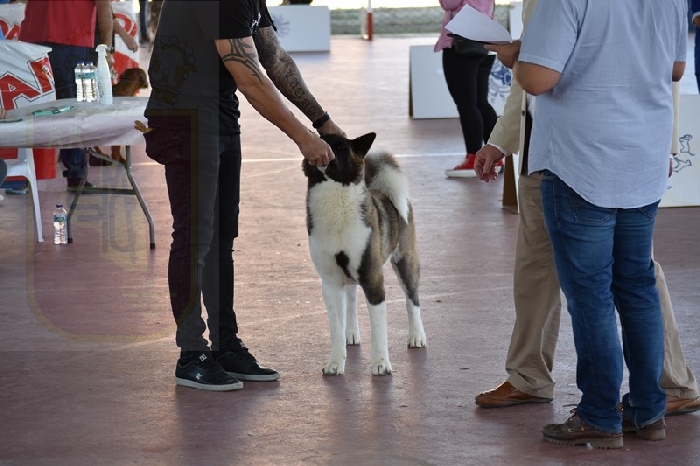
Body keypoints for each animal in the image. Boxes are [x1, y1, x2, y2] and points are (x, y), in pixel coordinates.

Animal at [302, 132, 427, 376]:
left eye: (339, 146)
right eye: (320, 136)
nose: (318, 144)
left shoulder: (373, 278)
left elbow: (379, 329)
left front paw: (380, 363)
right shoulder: (330, 283)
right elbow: (335, 327)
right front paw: (335, 362)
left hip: (405, 262)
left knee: (412, 299)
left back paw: (417, 335)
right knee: (351, 300)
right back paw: (351, 333)